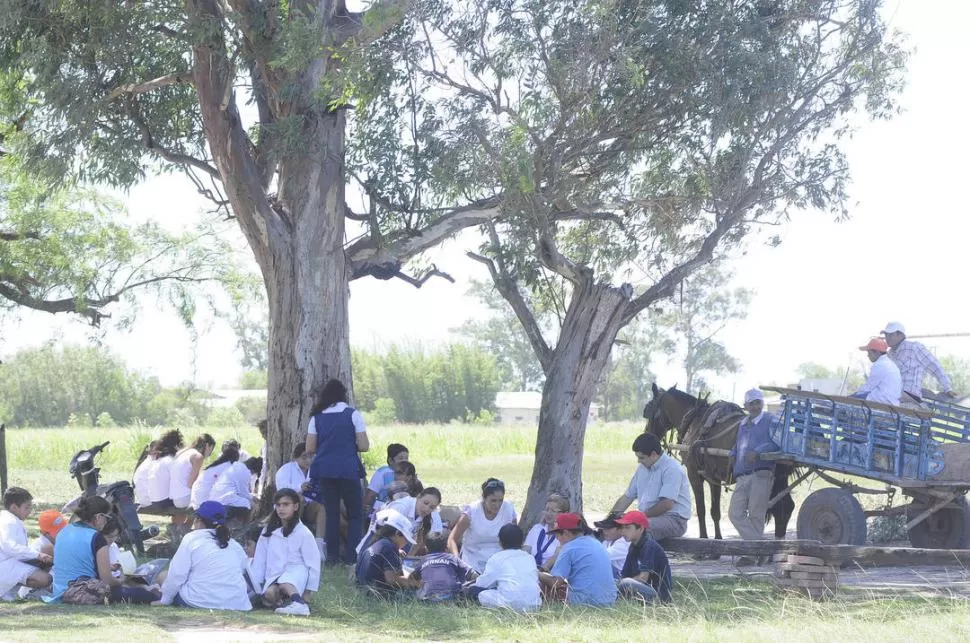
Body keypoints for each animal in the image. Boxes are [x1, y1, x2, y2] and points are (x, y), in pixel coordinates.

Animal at [640, 382, 792, 544]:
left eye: (648, 409)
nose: (647, 435)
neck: (695, 421)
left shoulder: (694, 475)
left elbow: (701, 509)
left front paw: (704, 538)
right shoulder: (714, 478)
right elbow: (715, 511)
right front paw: (718, 539)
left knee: (779, 509)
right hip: (780, 479)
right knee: (786, 507)